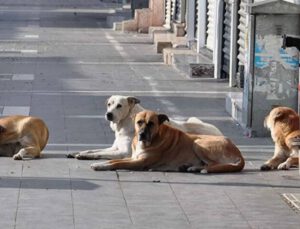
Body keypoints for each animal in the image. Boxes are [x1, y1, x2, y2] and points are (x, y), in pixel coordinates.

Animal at [67, 94, 223, 159]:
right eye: (109, 104)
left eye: (119, 106)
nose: (109, 114)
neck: (124, 124)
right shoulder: (114, 147)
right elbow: (92, 149)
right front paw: (78, 152)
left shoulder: (124, 152)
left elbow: (99, 153)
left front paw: (85, 156)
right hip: (193, 118)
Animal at [90, 110, 245, 173]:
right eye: (139, 122)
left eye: (151, 123)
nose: (141, 134)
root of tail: (239, 153)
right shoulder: (133, 158)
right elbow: (113, 160)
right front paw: (101, 163)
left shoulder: (139, 162)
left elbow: (116, 163)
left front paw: (100, 166)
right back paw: (191, 167)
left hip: (198, 143)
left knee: (214, 164)